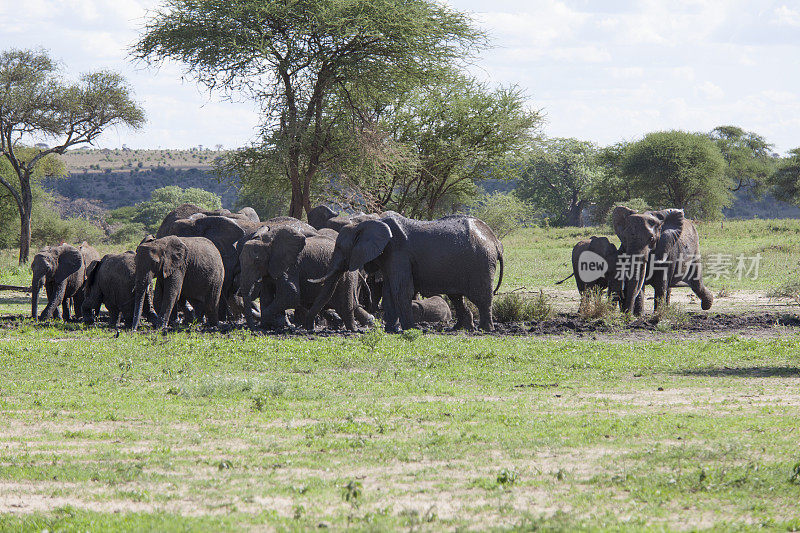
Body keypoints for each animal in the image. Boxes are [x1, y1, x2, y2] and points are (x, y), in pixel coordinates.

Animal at [238, 224, 376, 328]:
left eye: (257, 261)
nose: (252, 329)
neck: (268, 241)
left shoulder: (291, 265)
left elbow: (291, 295)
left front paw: (268, 322)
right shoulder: (271, 268)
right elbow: (266, 296)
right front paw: (266, 325)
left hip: (346, 276)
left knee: (345, 305)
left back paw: (354, 329)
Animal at [304, 213, 504, 330]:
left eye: (339, 247)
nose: (309, 328)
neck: (367, 224)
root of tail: (495, 241)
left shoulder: (398, 253)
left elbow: (401, 291)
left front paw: (409, 329)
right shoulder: (389, 256)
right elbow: (389, 292)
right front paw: (390, 330)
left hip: (481, 262)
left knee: (481, 297)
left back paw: (486, 329)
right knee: (456, 297)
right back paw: (461, 329)